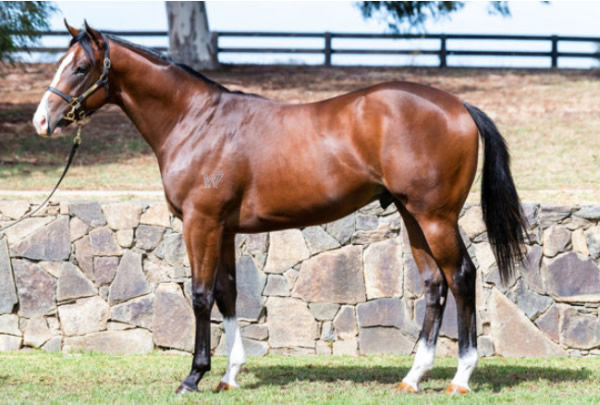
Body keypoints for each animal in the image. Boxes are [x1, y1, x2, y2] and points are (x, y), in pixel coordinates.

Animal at [34, 22, 524, 394]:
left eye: (80, 67)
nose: (42, 120)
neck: (195, 121)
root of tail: (459, 106)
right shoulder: (223, 229)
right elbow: (228, 294)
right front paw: (229, 375)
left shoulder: (200, 224)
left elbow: (200, 295)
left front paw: (194, 376)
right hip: (412, 215)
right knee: (434, 285)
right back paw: (413, 376)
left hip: (435, 217)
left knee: (461, 277)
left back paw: (460, 378)